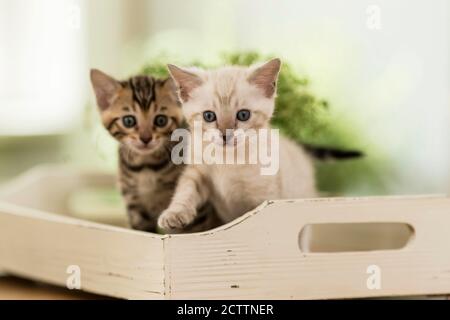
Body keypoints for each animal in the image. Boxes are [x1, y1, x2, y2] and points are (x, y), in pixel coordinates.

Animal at [89, 69, 219, 232]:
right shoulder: (134, 204)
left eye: (161, 120)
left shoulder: (200, 211)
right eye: (128, 121)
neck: (146, 166)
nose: (146, 138)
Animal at [158, 58, 316, 231]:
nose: (225, 135)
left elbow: (253, 215)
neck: (227, 159)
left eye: (243, 115)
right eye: (208, 116)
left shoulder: (262, 194)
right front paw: (175, 212)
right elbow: (185, 189)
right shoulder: (198, 171)